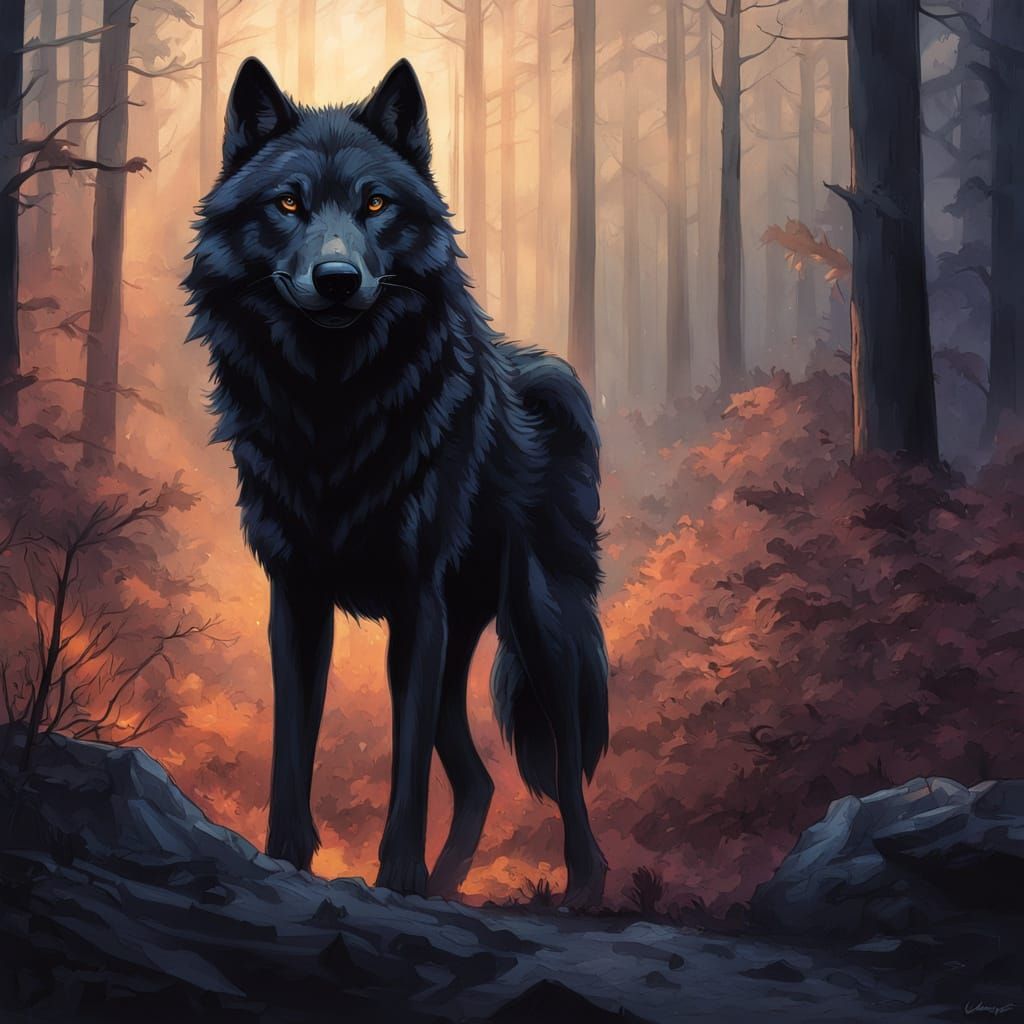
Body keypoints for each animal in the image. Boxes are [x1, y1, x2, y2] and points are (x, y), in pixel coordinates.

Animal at [184, 57, 609, 906]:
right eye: (289, 203)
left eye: (375, 204)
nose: (337, 278)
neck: (332, 405)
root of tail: (539, 372)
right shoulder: (298, 598)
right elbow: (293, 747)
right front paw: (286, 860)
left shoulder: (418, 605)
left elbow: (406, 769)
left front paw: (400, 875)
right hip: (461, 647)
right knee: (479, 780)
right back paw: (448, 888)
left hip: (538, 626)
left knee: (566, 767)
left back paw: (582, 888)